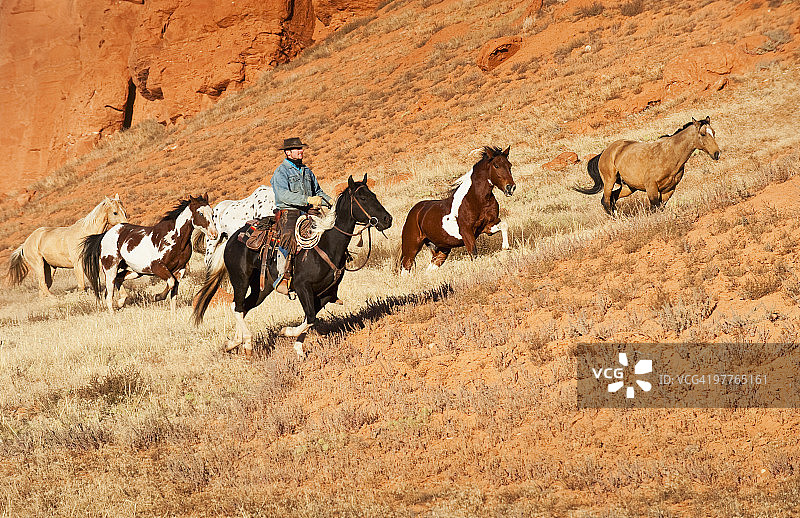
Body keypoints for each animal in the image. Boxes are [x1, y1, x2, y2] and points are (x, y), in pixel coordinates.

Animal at [81, 195, 217, 313]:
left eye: (212, 213)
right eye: (200, 213)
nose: (214, 234)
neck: (175, 238)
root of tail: (104, 235)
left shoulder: (180, 270)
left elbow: (174, 291)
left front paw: (172, 314)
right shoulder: (157, 267)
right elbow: (171, 283)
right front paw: (156, 297)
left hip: (136, 271)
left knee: (119, 279)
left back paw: (121, 302)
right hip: (110, 269)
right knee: (109, 294)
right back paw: (113, 313)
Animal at [193, 175, 392, 358]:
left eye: (373, 195)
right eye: (363, 198)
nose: (387, 219)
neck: (327, 243)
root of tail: (231, 239)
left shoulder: (326, 293)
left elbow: (310, 317)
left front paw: (298, 348)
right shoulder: (302, 286)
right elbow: (310, 316)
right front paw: (287, 332)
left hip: (261, 289)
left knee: (243, 307)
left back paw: (234, 342)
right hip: (240, 279)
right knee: (237, 305)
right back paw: (246, 343)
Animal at [398, 146, 515, 274]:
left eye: (509, 165)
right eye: (496, 165)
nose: (510, 187)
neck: (476, 199)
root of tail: (414, 212)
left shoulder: (487, 226)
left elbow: (504, 225)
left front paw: (505, 246)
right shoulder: (467, 232)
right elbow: (473, 254)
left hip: (441, 250)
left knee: (430, 267)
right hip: (411, 247)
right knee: (406, 267)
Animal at [574, 117, 721, 216]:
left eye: (713, 132)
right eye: (703, 134)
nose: (717, 153)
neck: (670, 154)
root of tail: (605, 152)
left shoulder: (669, 190)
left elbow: (661, 207)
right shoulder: (651, 187)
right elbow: (654, 207)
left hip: (629, 187)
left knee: (613, 198)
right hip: (609, 181)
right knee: (606, 201)